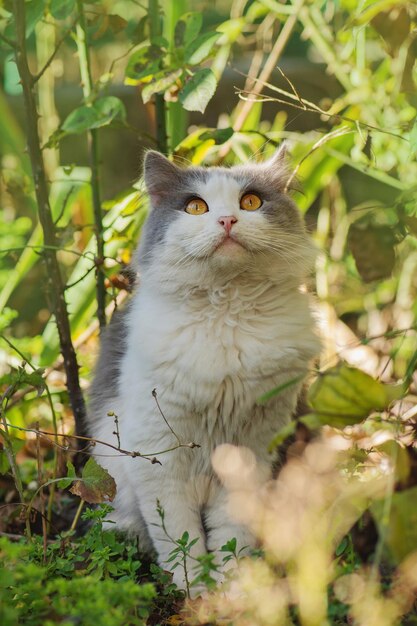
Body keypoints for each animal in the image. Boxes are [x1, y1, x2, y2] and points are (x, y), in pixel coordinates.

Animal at [88, 149, 318, 588]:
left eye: (251, 202)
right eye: (195, 207)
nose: (227, 220)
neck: (226, 308)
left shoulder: (251, 449)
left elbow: (231, 533)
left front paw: (233, 585)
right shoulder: (158, 455)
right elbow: (179, 538)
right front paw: (193, 588)